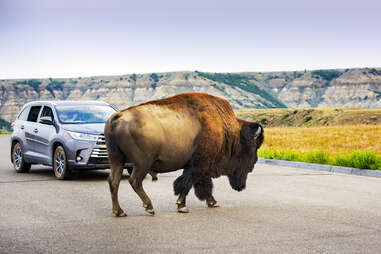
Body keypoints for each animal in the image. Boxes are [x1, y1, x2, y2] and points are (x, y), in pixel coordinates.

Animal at [104, 93, 264, 216]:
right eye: (252, 148)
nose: (254, 164)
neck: (227, 130)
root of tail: (117, 116)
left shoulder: (199, 167)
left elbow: (200, 185)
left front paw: (212, 202)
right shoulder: (199, 165)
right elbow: (188, 184)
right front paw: (183, 206)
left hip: (117, 160)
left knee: (114, 181)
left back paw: (119, 211)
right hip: (142, 163)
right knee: (134, 181)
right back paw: (149, 208)